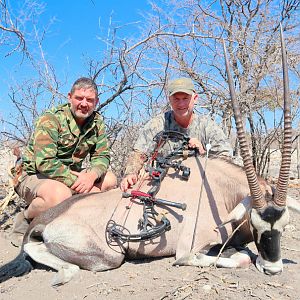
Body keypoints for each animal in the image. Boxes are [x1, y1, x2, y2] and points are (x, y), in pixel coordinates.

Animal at [0, 27, 298, 284]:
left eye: (284, 225)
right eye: (256, 223)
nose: (273, 269)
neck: (220, 191)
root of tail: (45, 220)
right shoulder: (188, 251)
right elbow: (237, 258)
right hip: (110, 255)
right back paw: (63, 273)